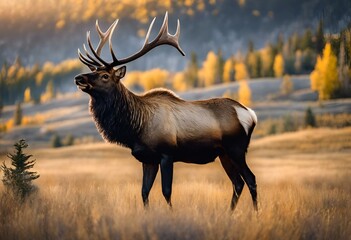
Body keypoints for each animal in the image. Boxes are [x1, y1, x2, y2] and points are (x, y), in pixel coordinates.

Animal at [75, 12, 258, 211]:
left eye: (105, 76)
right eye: (93, 72)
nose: (79, 78)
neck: (135, 128)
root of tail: (250, 114)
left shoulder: (167, 153)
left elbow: (166, 191)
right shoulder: (148, 159)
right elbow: (144, 192)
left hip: (236, 148)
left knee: (250, 179)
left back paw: (256, 213)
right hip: (224, 153)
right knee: (238, 183)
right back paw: (229, 213)